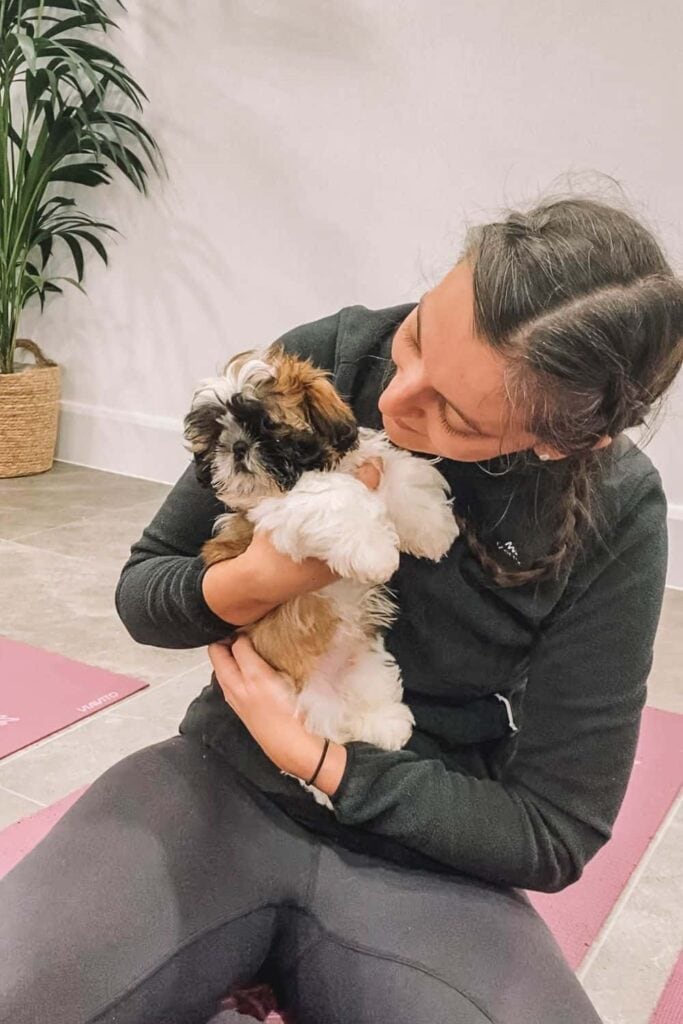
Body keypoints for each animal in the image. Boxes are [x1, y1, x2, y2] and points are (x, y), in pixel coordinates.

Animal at [184, 344, 456, 806]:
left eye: (266, 425)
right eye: (217, 435)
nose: (236, 447)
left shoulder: (369, 463)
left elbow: (400, 478)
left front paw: (432, 528)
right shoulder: (283, 508)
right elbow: (335, 497)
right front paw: (376, 552)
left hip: (366, 663)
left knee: (371, 696)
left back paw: (387, 724)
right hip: (308, 703)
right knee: (322, 736)